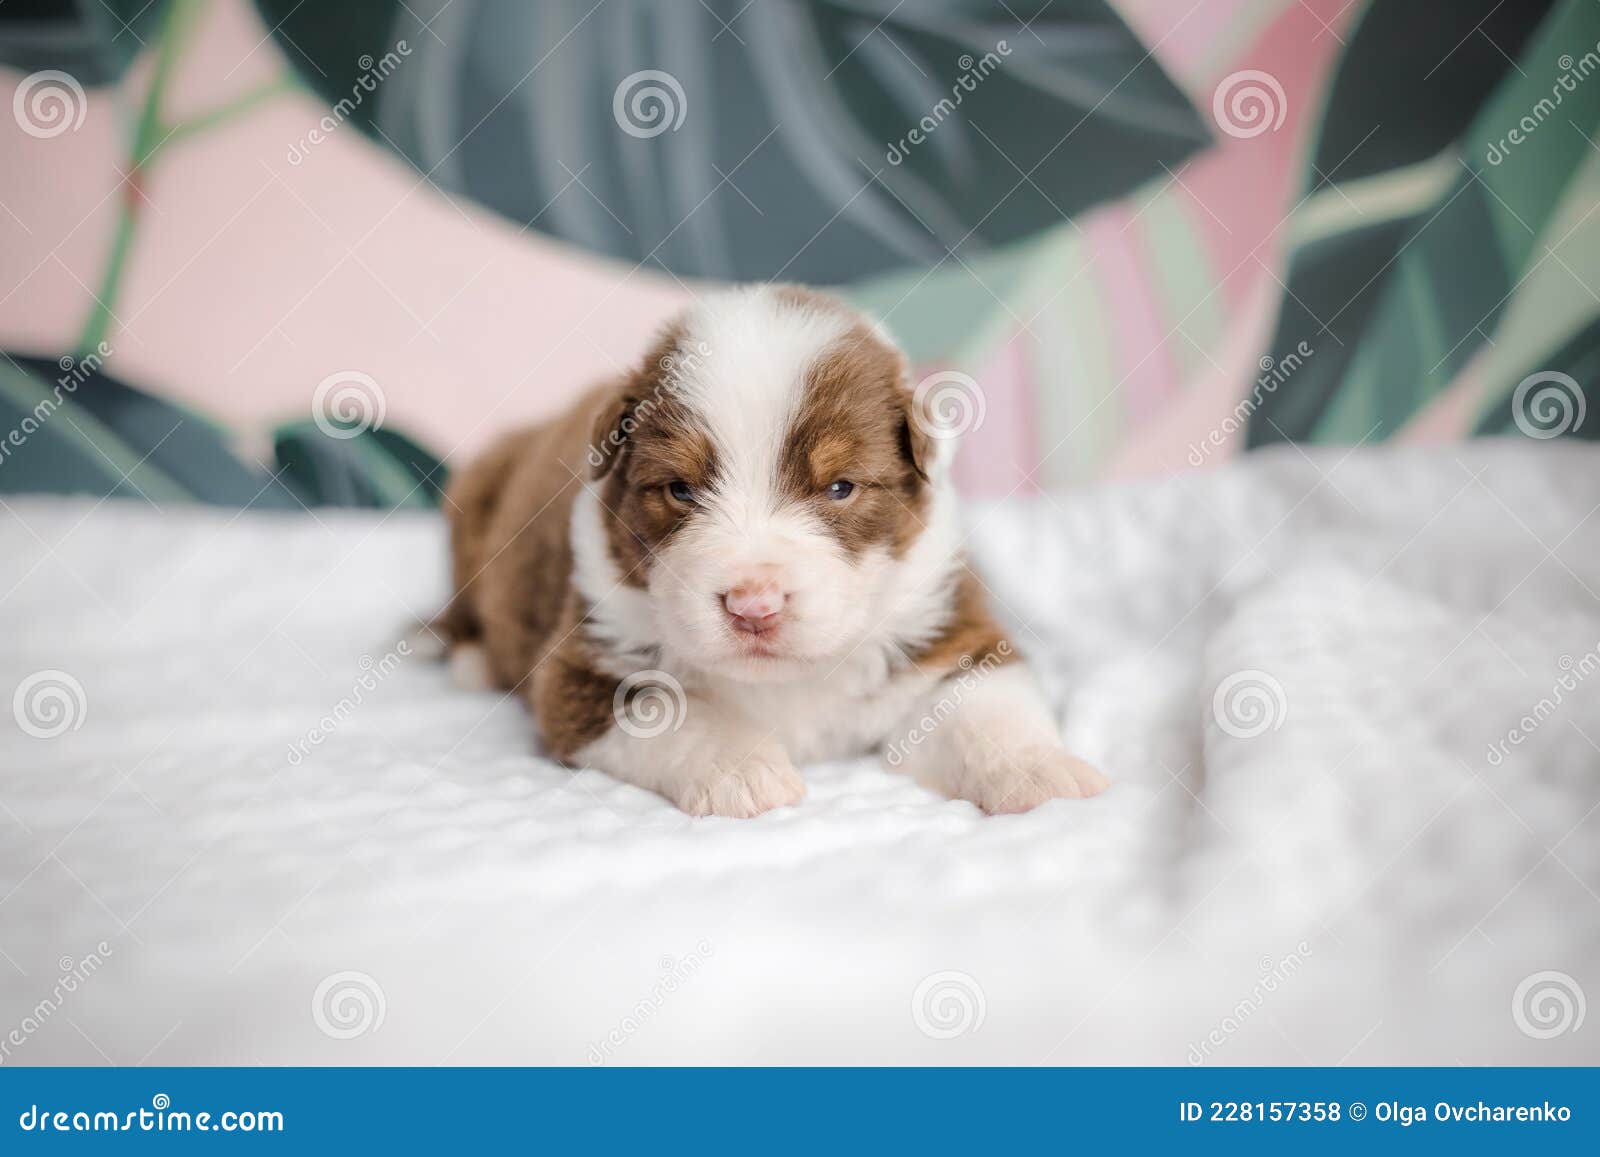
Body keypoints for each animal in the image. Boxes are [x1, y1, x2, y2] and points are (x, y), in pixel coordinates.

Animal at [438, 284, 1113, 819]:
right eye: (680, 489)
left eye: (840, 487)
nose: (753, 606)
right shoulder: (586, 663)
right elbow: (679, 710)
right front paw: (743, 771)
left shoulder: (944, 625)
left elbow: (985, 705)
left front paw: (1040, 771)